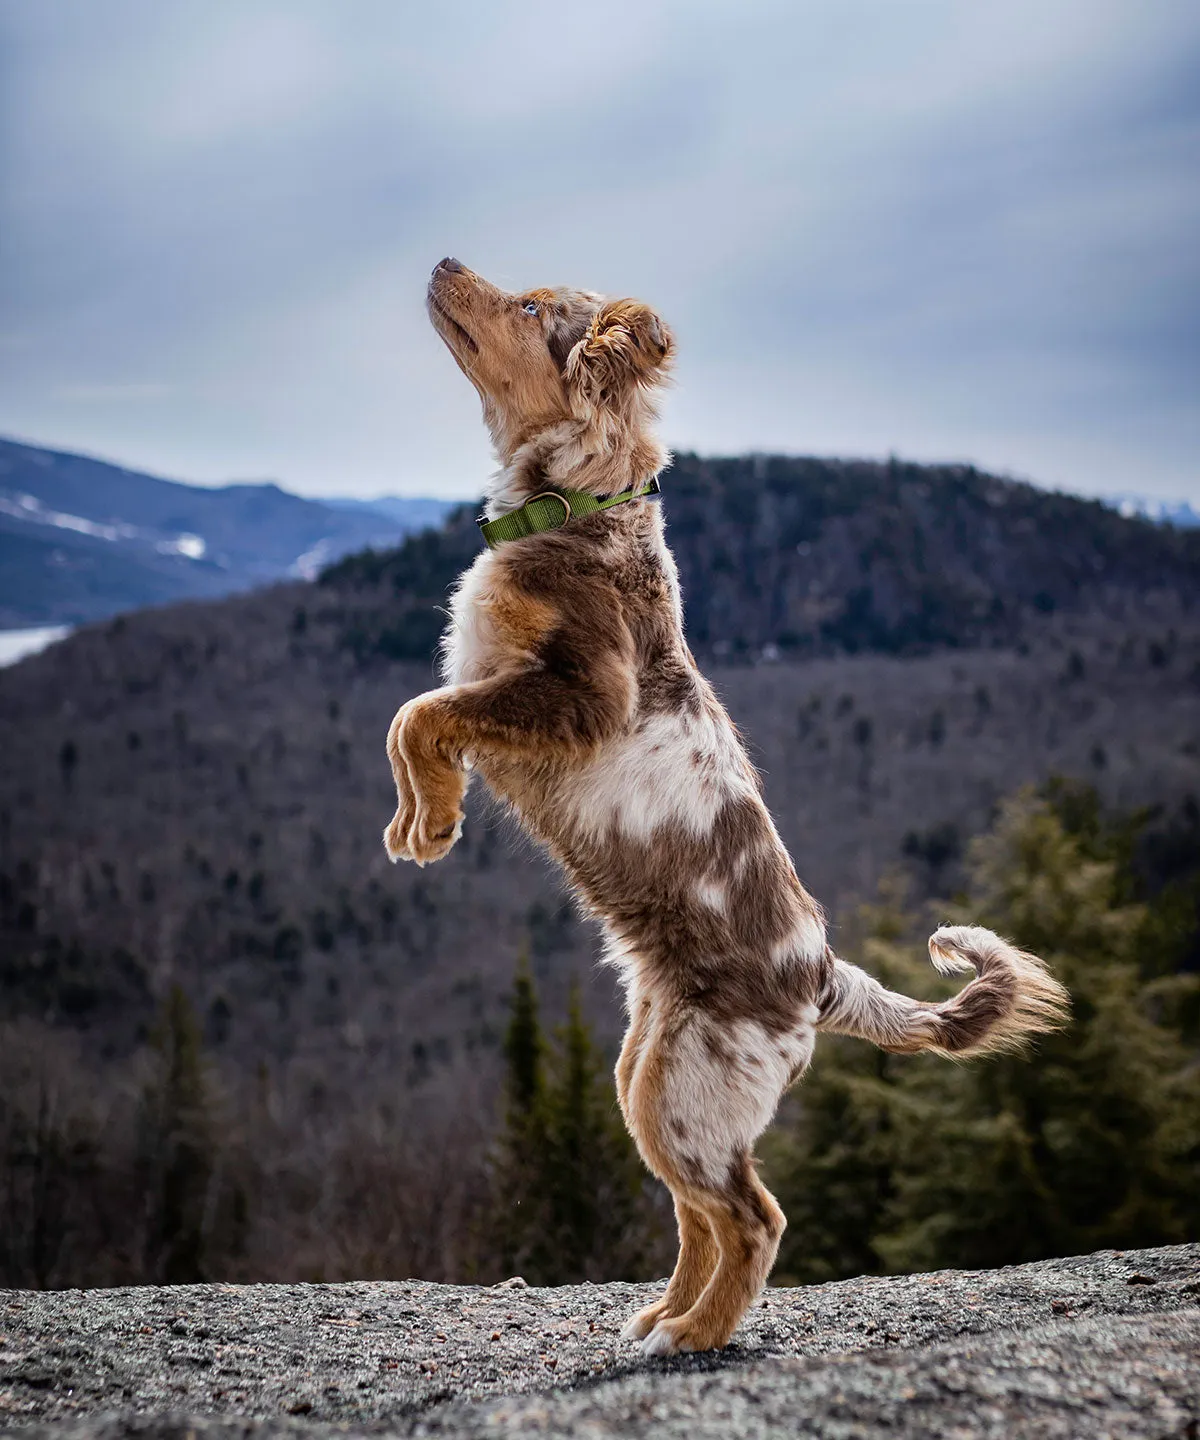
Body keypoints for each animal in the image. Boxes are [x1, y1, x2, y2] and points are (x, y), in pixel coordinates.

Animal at [386, 256, 1066, 1347]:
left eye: (531, 306)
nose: (443, 261)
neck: (574, 506)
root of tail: (825, 977)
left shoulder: (586, 695)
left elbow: (420, 714)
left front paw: (431, 823)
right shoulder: (499, 688)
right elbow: (418, 719)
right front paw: (421, 818)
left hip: (686, 1091)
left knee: (753, 1215)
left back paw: (695, 1335)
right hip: (645, 1079)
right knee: (701, 1212)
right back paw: (662, 1316)